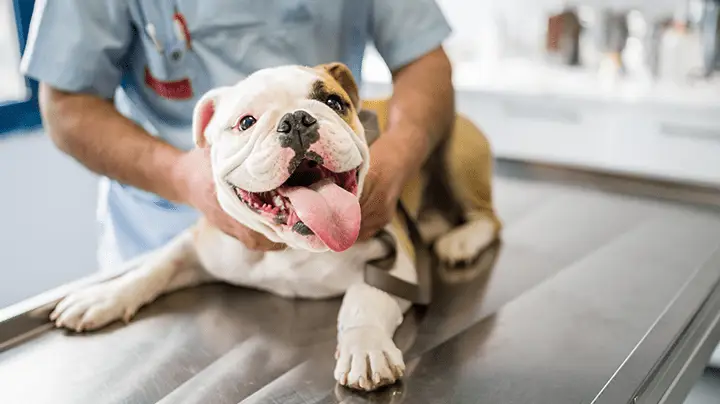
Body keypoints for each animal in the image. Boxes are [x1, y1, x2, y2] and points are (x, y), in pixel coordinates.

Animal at [49, 63, 500, 392]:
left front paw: (364, 345)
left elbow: (363, 300)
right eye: (246, 122)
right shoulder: (201, 245)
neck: (293, 246)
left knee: (488, 218)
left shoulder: (394, 258)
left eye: (333, 102)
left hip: (457, 149)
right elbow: (154, 267)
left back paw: (461, 241)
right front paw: (104, 295)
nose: (297, 120)